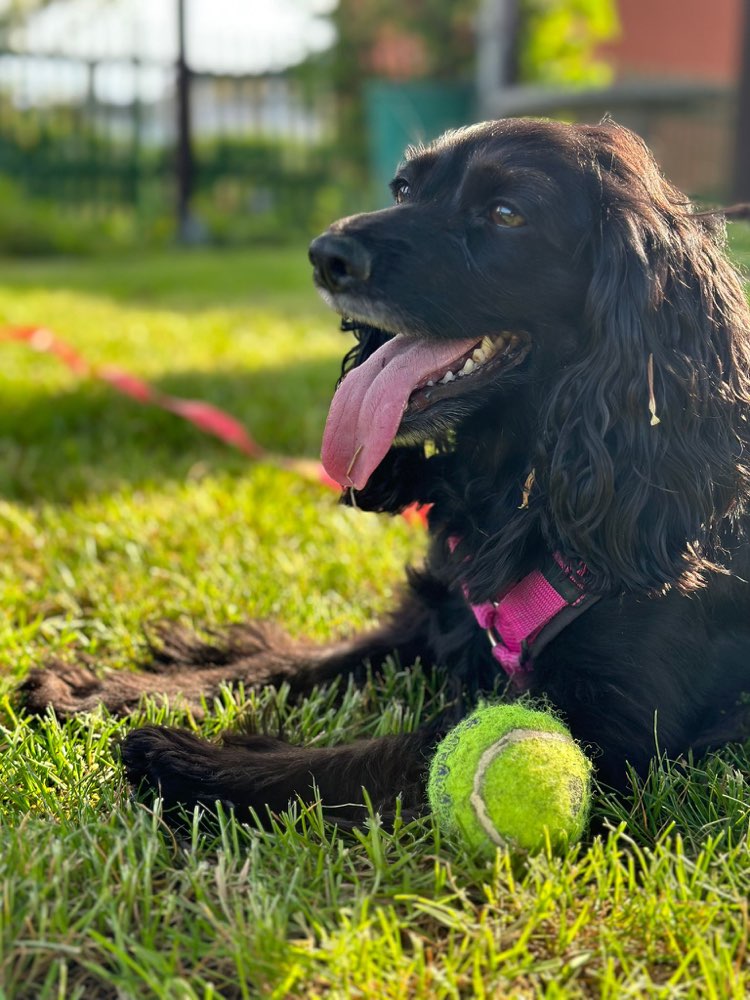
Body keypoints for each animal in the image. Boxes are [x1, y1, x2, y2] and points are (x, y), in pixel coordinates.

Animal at [20, 119, 750, 820]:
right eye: (403, 189)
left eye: (507, 213)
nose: (326, 256)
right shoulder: (441, 613)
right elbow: (300, 660)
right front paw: (111, 687)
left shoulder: (612, 727)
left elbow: (384, 757)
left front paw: (194, 762)